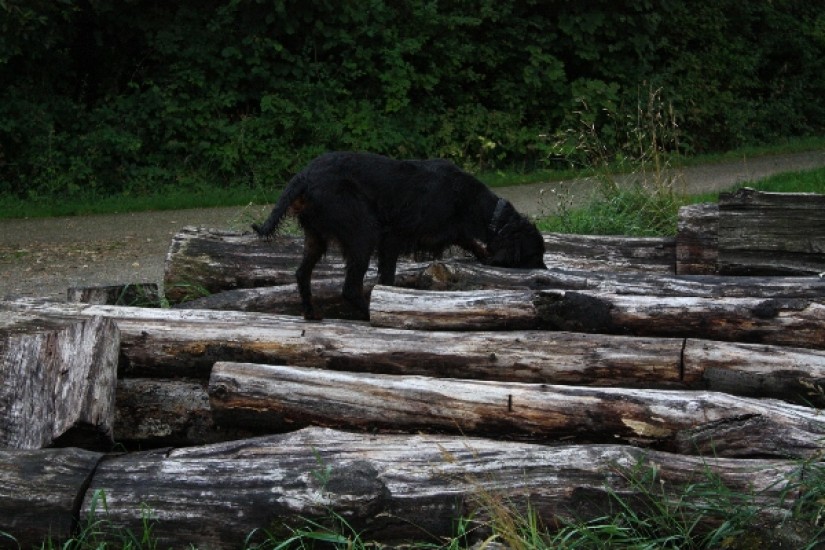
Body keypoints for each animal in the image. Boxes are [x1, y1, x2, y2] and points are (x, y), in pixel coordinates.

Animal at [253, 152, 546, 320]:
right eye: (536, 254)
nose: (544, 269)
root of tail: (303, 176)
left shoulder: (451, 230)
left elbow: (472, 242)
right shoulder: (391, 237)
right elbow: (388, 279)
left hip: (316, 237)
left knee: (302, 273)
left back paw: (311, 313)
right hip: (363, 231)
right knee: (350, 288)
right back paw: (368, 314)